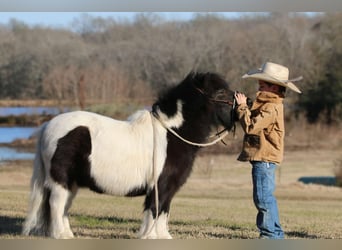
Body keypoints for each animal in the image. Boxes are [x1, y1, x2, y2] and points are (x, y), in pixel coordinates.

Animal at [22, 71, 238, 239]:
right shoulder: (160, 185)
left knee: (64, 207)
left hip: (72, 183)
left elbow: (164, 211)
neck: (171, 133)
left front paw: (162, 236)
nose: (238, 112)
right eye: (219, 92)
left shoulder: (168, 187)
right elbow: (155, 210)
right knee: (56, 204)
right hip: (61, 181)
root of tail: (48, 126)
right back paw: (61, 235)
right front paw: (150, 236)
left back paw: (67, 234)